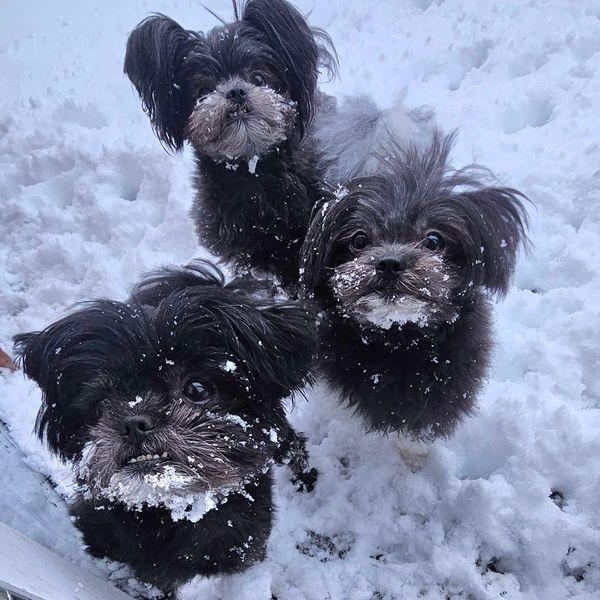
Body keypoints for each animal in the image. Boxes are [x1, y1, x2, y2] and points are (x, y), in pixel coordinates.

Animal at [14, 262, 316, 600]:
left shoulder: (245, 553)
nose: (134, 423)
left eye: (197, 389)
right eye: (101, 404)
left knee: (293, 446)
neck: (175, 511)